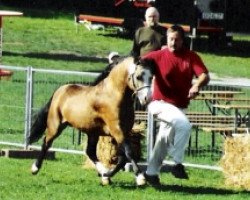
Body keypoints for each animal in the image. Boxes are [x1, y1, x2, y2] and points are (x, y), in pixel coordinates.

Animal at [27, 56, 154, 186]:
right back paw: (35, 168)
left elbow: (123, 158)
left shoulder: (123, 132)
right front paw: (140, 178)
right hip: (56, 125)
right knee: (46, 142)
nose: (147, 98)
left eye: (151, 77)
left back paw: (103, 173)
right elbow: (129, 153)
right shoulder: (117, 131)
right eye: (138, 76)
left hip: (92, 132)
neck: (114, 96)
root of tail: (61, 89)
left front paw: (107, 175)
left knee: (90, 152)